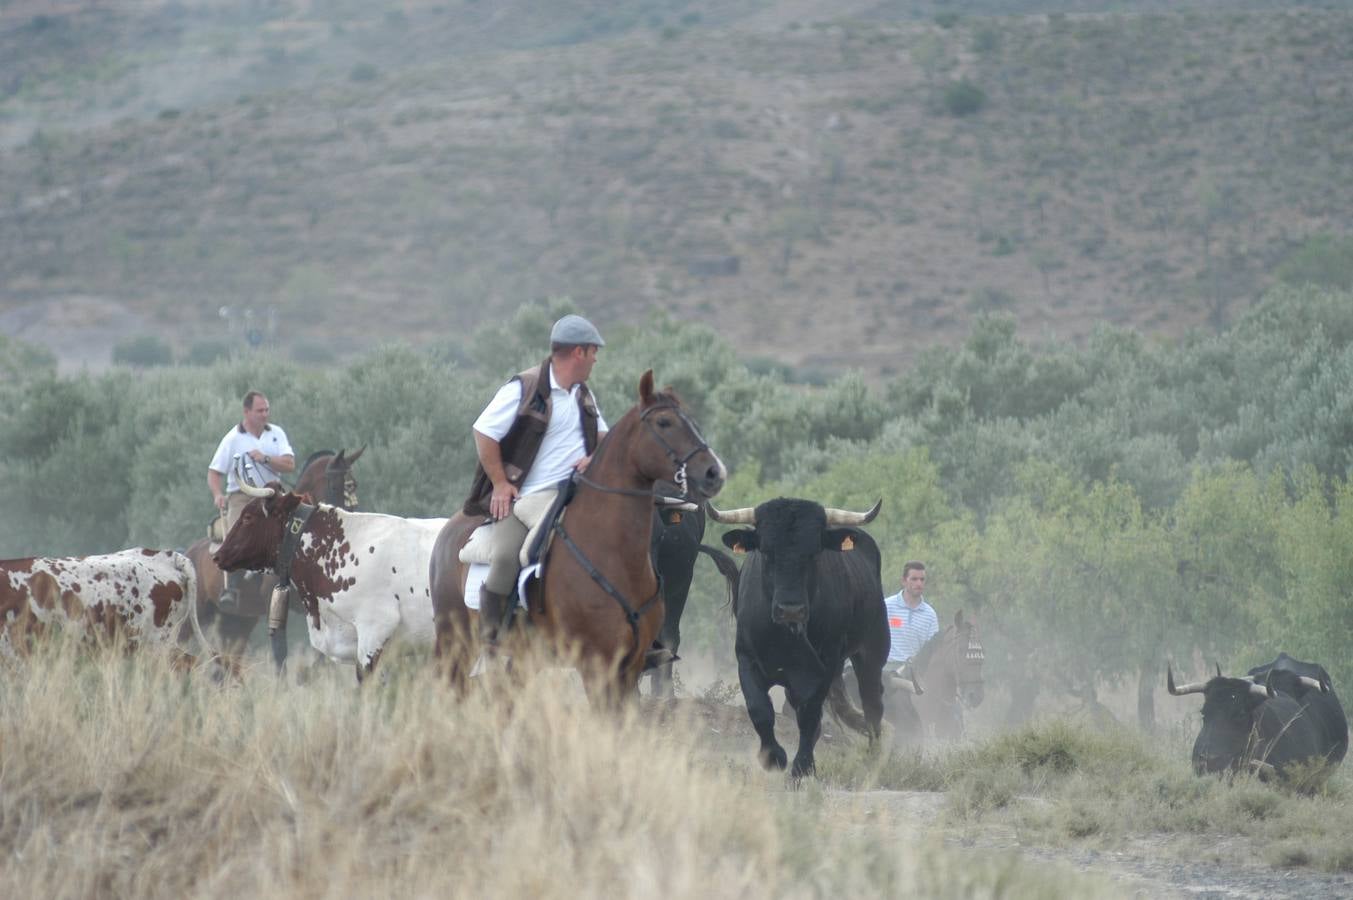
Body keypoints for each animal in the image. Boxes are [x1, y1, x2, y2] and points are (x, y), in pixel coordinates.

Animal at [188, 446, 365, 663]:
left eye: (354, 485)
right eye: (334, 485)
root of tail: (190, 552)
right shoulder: (272, 603)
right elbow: (280, 651)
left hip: (238, 621)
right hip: (196, 613)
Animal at [432, 370, 730, 703]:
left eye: (662, 537)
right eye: (664, 422)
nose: (714, 472)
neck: (613, 554)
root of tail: (450, 530)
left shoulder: (630, 664)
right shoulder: (597, 663)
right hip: (454, 641)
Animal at [708, 495, 887, 774]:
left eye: (814, 553)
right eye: (766, 552)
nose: (790, 610)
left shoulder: (824, 666)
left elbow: (809, 714)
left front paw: (802, 766)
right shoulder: (746, 659)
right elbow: (759, 709)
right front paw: (774, 757)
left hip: (872, 651)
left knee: (872, 703)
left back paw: (874, 756)